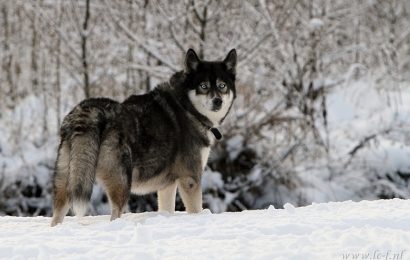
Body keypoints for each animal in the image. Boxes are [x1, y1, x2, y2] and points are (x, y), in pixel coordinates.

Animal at [50, 48, 237, 225]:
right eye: (203, 86)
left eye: (222, 86)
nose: (217, 101)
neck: (187, 107)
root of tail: (89, 111)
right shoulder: (190, 179)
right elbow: (195, 210)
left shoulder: (168, 185)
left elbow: (167, 209)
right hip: (122, 184)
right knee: (115, 214)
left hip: (66, 182)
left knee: (57, 215)